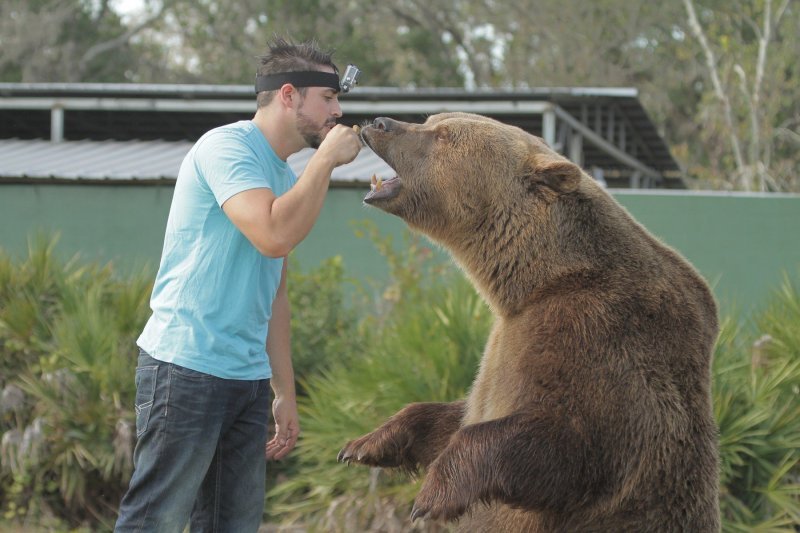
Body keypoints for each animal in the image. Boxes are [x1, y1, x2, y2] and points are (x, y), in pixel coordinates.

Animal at [338, 113, 720, 532]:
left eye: (444, 135)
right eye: (431, 119)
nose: (380, 122)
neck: (532, 284)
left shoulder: (597, 333)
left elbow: (576, 445)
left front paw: (432, 495)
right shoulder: (508, 342)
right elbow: (458, 415)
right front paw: (365, 444)